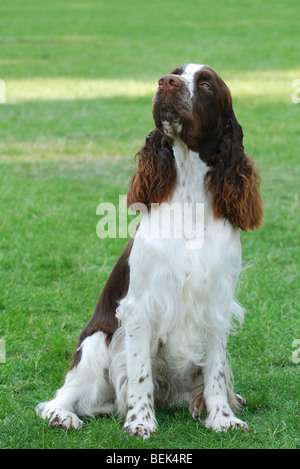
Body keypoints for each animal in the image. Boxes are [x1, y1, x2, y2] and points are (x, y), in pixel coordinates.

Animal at [36, 64, 264, 436]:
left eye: (205, 84)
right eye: (176, 73)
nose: (166, 83)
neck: (189, 199)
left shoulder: (215, 304)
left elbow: (215, 372)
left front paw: (222, 418)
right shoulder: (140, 307)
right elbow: (140, 372)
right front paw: (140, 421)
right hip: (96, 342)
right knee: (64, 396)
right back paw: (63, 415)